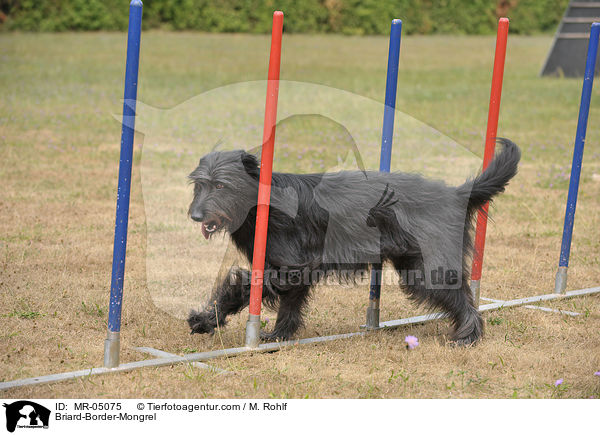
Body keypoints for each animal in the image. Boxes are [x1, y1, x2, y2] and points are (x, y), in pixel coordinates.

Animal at [188, 138, 520, 346]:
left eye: (221, 185)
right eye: (200, 184)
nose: (195, 215)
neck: (262, 202)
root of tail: (455, 194)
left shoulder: (290, 266)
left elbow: (242, 286)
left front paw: (205, 320)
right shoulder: (295, 270)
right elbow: (289, 305)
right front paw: (278, 336)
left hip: (426, 272)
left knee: (462, 298)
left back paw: (468, 336)